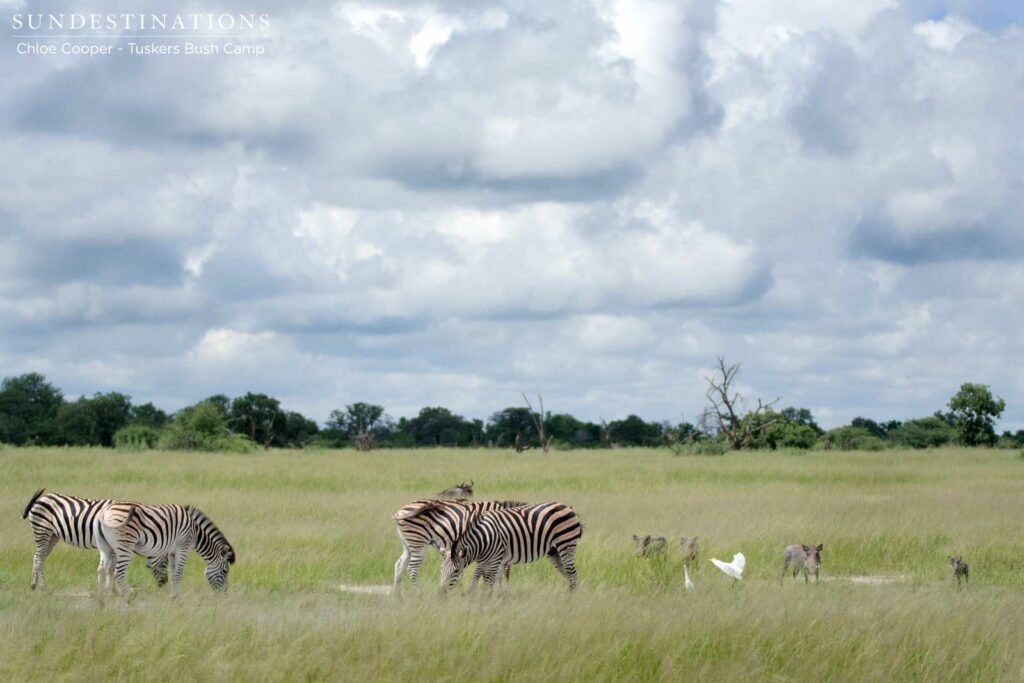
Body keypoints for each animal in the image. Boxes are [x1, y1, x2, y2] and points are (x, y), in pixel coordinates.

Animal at [98, 502, 235, 596]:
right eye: (224, 572)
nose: (224, 594)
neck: (195, 532)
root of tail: (105, 512)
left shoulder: (172, 551)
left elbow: (173, 574)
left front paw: (174, 596)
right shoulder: (183, 547)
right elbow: (178, 574)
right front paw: (176, 598)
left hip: (109, 547)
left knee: (104, 570)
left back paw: (104, 595)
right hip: (125, 546)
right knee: (118, 573)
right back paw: (128, 596)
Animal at [392, 498, 527, 591]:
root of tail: (401, 511)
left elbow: (497, 572)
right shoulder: (491, 547)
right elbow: (499, 572)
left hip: (408, 544)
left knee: (399, 565)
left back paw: (398, 597)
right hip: (418, 542)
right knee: (412, 568)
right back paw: (419, 594)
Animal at [441, 502, 583, 591]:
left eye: (455, 571)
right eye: (440, 570)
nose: (441, 595)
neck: (482, 540)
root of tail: (567, 507)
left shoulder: (494, 560)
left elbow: (487, 582)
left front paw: (485, 601)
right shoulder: (486, 561)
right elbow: (481, 577)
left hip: (566, 544)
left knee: (572, 574)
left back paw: (570, 602)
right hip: (554, 551)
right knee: (567, 575)